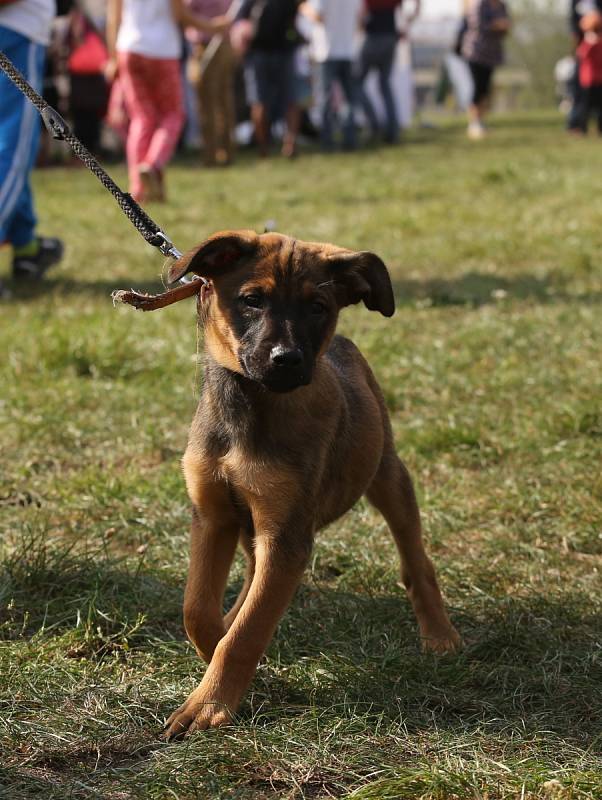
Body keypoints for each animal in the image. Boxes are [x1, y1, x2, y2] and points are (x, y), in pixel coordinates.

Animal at [161, 227, 460, 736]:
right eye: (252, 300)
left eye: (318, 307)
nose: (288, 360)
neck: (251, 405)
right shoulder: (214, 516)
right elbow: (198, 610)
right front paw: (220, 649)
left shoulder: (286, 534)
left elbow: (246, 633)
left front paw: (210, 702)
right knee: (249, 579)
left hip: (388, 475)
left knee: (416, 560)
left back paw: (439, 633)